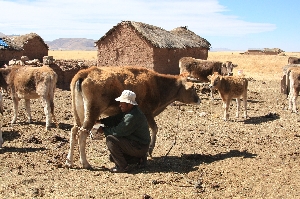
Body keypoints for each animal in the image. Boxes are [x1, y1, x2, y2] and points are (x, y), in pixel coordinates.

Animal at [66, 66, 202, 169]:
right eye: (192, 88)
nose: (199, 100)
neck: (156, 84)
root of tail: (86, 72)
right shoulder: (147, 112)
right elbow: (154, 128)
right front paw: (150, 149)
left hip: (79, 113)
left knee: (74, 131)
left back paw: (69, 161)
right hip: (92, 111)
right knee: (82, 133)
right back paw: (85, 163)